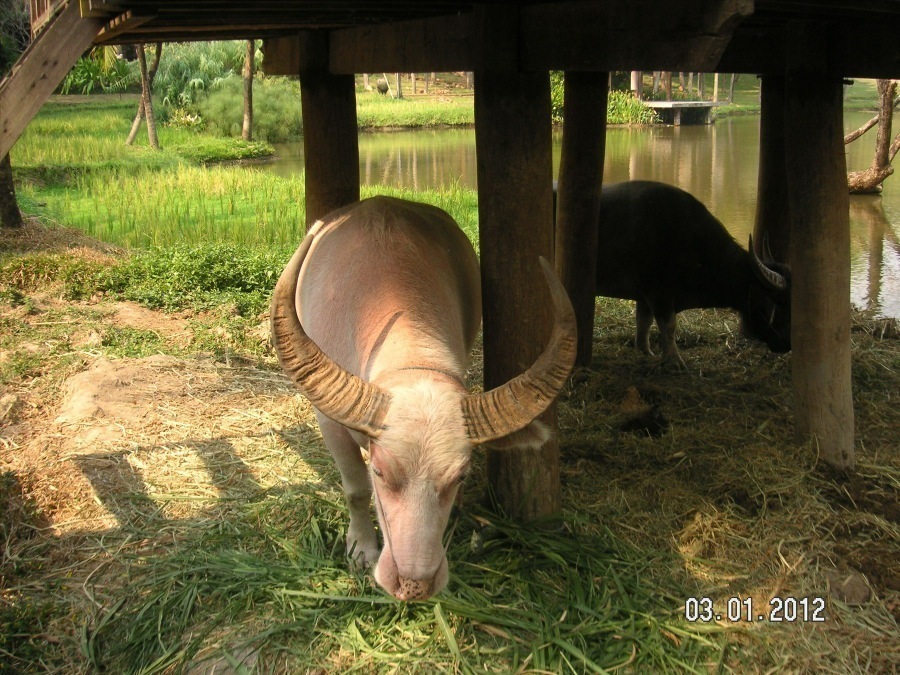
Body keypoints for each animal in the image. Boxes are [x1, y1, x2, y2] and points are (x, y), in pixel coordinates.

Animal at [270, 195, 576, 604]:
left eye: (461, 476)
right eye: (380, 472)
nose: (414, 585)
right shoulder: (331, 425)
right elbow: (355, 489)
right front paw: (362, 548)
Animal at [596, 181, 792, 370]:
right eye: (780, 303)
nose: (787, 344)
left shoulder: (645, 296)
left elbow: (644, 322)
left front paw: (646, 352)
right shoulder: (660, 294)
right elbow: (669, 326)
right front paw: (674, 361)